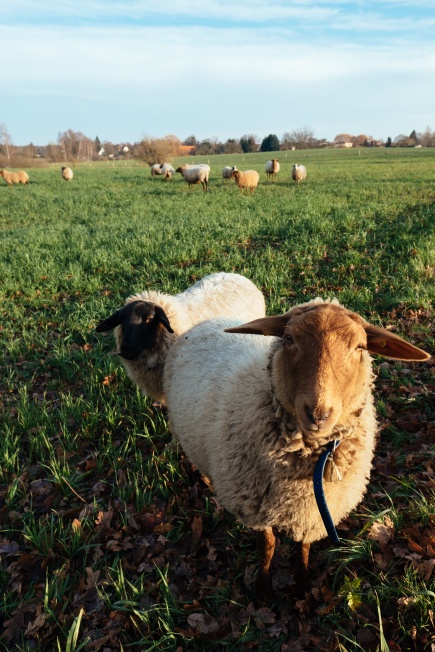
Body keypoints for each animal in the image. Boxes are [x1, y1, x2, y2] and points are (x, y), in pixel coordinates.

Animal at [164, 298, 430, 599]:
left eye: (360, 347)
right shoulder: (255, 508)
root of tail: (208, 321)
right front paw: (262, 588)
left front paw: (303, 585)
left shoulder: (314, 512)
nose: (318, 413)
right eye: (289, 339)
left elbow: (303, 546)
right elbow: (267, 546)